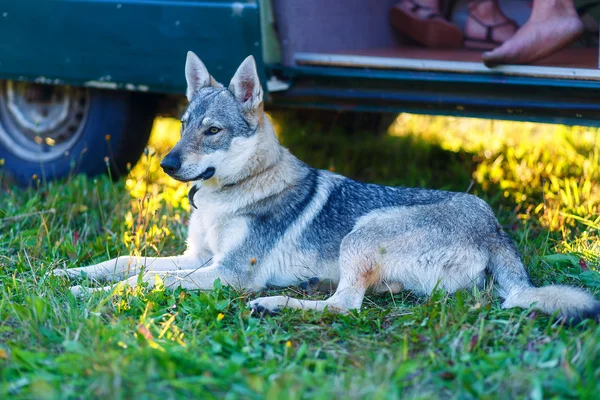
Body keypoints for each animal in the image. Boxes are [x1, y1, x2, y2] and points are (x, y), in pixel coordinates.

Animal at [54, 51, 596, 324]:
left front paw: (91, 296)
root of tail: (495, 229)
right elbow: (127, 261)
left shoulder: (226, 273)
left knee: (345, 307)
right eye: (184, 125)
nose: (165, 164)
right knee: (356, 297)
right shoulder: (197, 258)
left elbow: (143, 282)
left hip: (360, 233)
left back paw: (273, 303)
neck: (230, 196)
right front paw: (68, 273)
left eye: (213, 131)